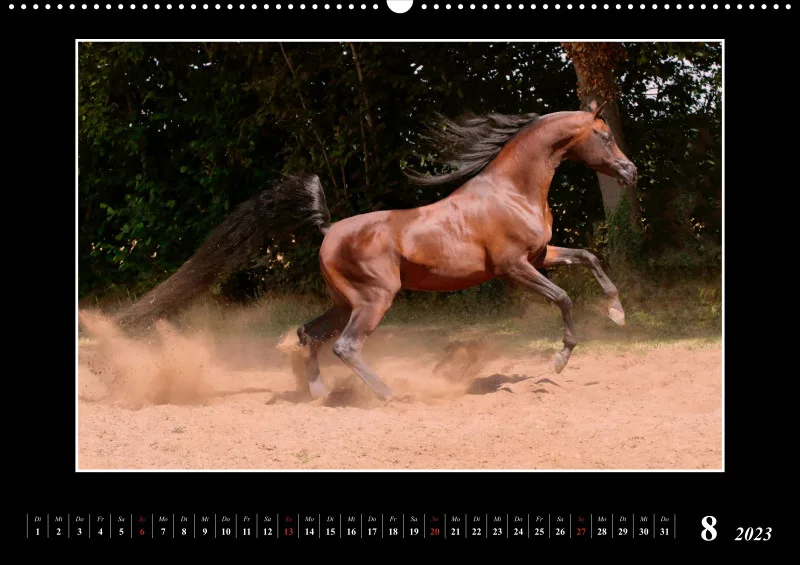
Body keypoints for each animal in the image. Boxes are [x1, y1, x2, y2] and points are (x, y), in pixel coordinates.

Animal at [115, 100, 637, 402]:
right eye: (605, 135)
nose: (631, 172)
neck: (513, 190)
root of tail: (328, 230)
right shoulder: (513, 267)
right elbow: (563, 298)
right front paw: (558, 361)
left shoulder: (540, 255)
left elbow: (589, 257)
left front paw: (617, 312)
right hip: (375, 299)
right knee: (345, 345)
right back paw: (389, 394)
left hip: (345, 300)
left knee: (309, 334)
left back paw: (319, 392)